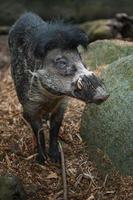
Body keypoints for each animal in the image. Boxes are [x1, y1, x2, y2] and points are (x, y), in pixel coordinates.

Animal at [7, 12, 108, 164]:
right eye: (61, 63)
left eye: (80, 58)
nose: (104, 95)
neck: (52, 96)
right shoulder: (30, 105)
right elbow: (39, 132)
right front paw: (41, 161)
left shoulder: (62, 105)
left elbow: (55, 129)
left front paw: (56, 159)